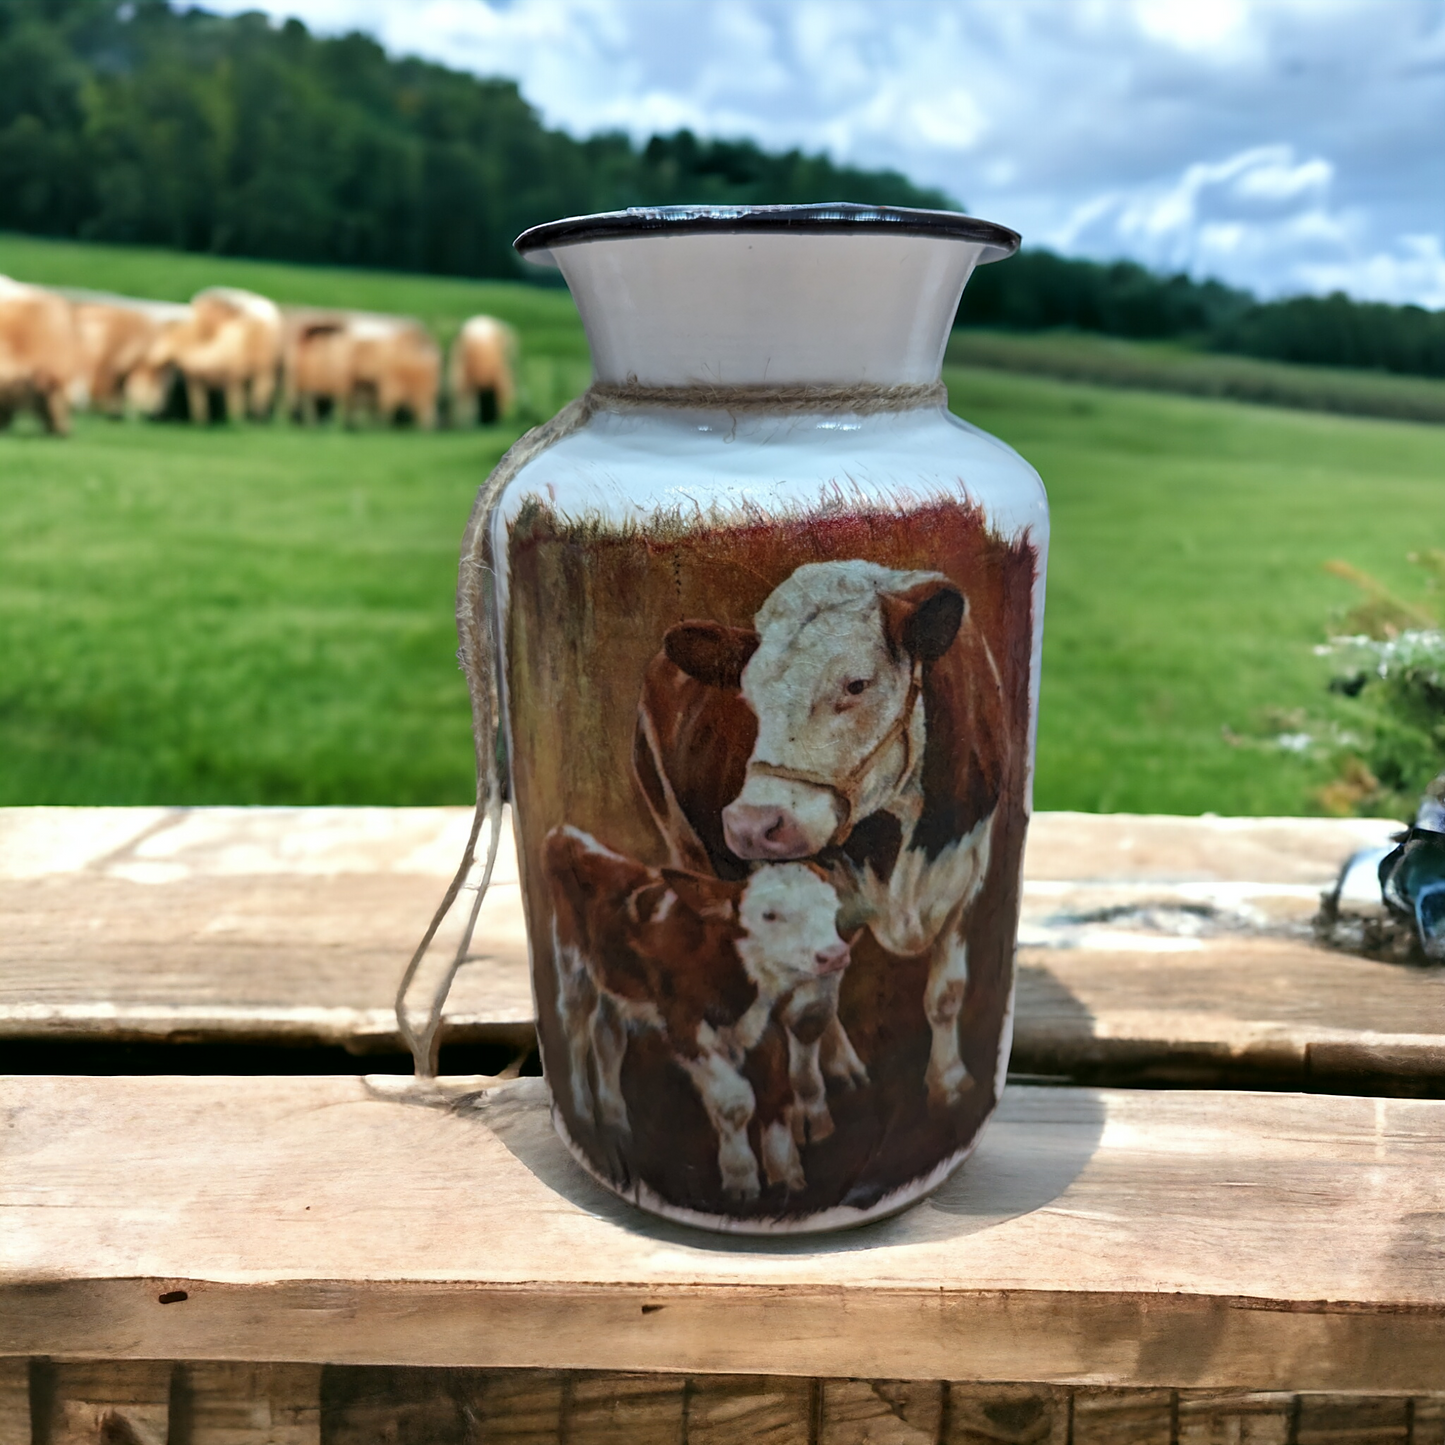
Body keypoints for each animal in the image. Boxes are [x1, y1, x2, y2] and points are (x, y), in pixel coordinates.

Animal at [546, 826, 849, 1196]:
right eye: (769, 914)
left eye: (832, 905)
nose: (834, 955)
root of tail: (567, 833)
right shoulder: (684, 1026)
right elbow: (734, 1102)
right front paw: (740, 1178)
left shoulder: (763, 1026)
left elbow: (776, 1092)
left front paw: (786, 1174)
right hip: (571, 960)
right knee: (575, 1029)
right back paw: (582, 1108)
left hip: (614, 981)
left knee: (608, 1037)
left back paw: (616, 1118)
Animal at [632, 560, 1005, 1103]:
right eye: (747, 695)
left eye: (856, 685)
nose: (751, 825)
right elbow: (812, 1005)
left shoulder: (968, 874)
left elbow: (946, 994)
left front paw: (950, 1082)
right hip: (680, 837)